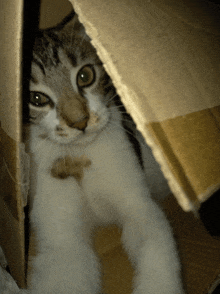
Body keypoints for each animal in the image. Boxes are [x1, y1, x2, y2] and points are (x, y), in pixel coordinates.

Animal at [0, 10, 185, 292]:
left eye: (85, 76)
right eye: (36, 99)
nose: (80, 122)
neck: (82, 155)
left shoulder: (138, 201)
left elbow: (154, 240)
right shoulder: (60, 230)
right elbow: (66, 261)